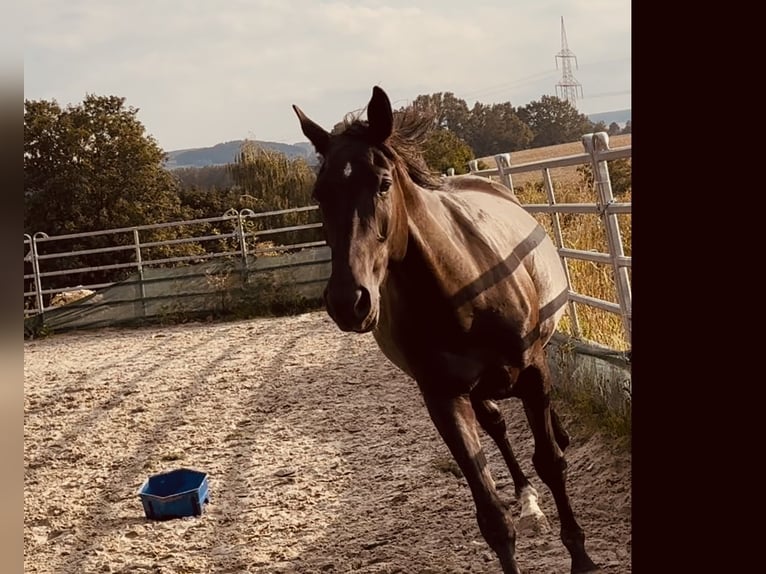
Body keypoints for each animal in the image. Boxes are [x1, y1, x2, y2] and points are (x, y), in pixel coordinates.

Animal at [293, 86, 601, 574]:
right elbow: (491, 516)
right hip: (477, 389)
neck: (462, 290)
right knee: (497, 426)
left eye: (382, 184)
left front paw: (582, 557)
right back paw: (527, 500)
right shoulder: (443, 397)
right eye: (320, 194)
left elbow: (551, 462)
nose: (348, 301)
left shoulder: (532, 369)